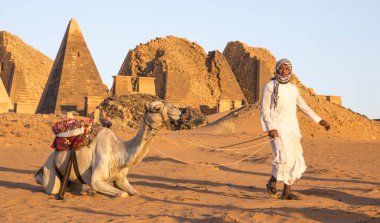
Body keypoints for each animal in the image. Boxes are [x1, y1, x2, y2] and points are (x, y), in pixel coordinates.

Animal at [33, 100, 180, 197]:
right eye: (156, 107)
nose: (177, 108)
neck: (119, 152)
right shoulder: (97, 180)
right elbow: (123, 194)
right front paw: (94, 191)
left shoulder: (121, 179)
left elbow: (135, 193)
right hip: (50, 168)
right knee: (51, 187)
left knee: (75, 187)